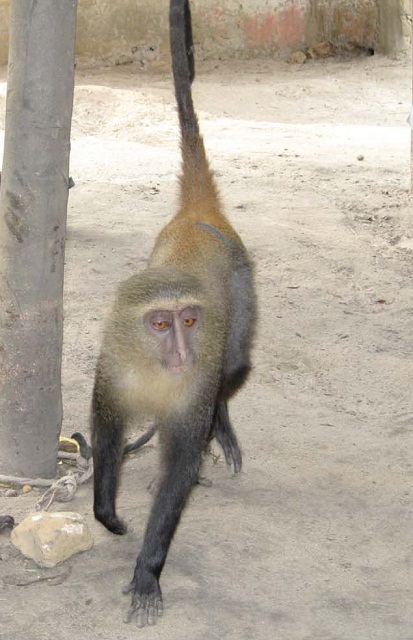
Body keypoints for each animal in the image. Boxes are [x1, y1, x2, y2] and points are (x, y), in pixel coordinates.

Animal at [91, 0, 256, 632]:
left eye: (188, 321)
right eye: (160, 324)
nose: (183, 351)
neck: (156, 372)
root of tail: (197, 217)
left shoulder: (193, 385)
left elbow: (178, 473)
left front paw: (146, 572)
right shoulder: (112, 367)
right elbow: (106, 432)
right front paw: (107, 512)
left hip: (242, 285)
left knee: (233, 369)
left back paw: (222, 423)